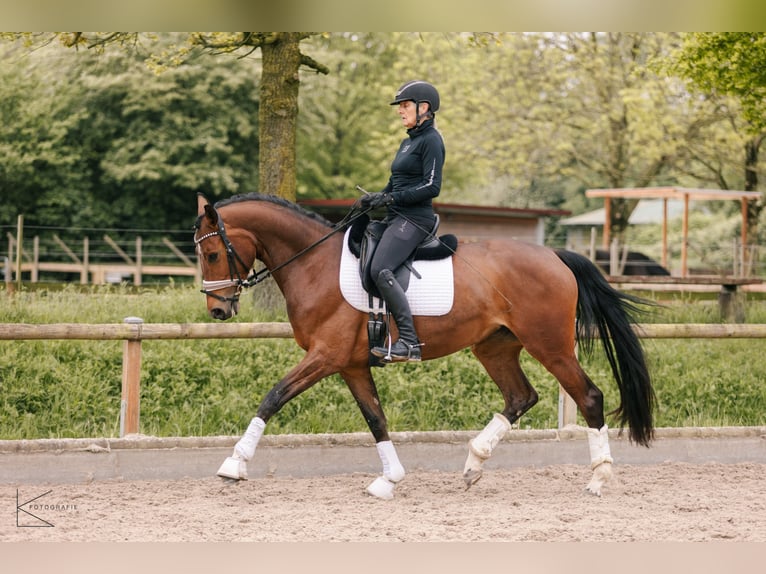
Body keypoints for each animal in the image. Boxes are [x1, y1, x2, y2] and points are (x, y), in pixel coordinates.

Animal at [194, 192, 655, 500]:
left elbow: (273, 396)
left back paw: (598, 479)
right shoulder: (351, 365)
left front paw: (234, 464)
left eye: (212, 253)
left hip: (551, 346)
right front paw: (389, 479)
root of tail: (556, 258)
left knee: (589, 396)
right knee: (521, 396)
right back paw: (473, 465)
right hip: (494, 347)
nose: (218, 310)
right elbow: (376, 419)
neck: (314, 265)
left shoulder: (325, 356)